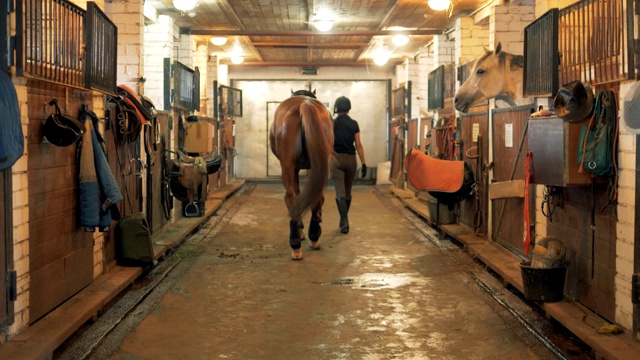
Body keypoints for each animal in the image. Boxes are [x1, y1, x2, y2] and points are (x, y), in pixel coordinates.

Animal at [268, 89, 336, 260]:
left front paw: (300, 230)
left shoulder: (295, 169)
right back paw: (313, 237)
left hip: (287, 165)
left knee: (291, 198)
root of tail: (305, 104)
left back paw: (296, 243)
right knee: (316, 197)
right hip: (319, 163)